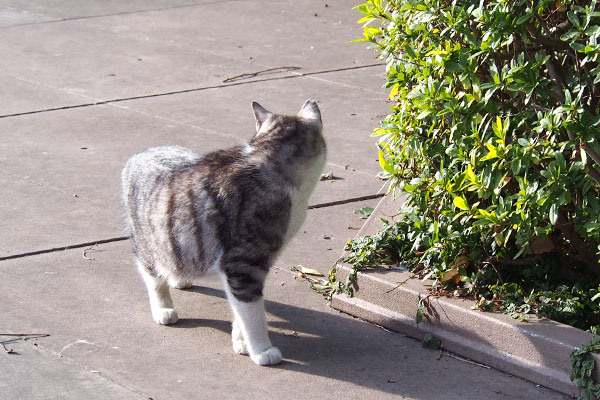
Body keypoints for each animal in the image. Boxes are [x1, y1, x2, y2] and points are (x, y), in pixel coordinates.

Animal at [120, 101, 326, 366]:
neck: (265, 153)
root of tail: (139, 155)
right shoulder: (244, 264)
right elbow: (253, 314)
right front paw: (261, 350)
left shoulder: (241, 272)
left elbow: (240, 310)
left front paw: (241, 341)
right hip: (148, 242)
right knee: (152, 276)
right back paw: (163, 308)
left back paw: (180, 279)